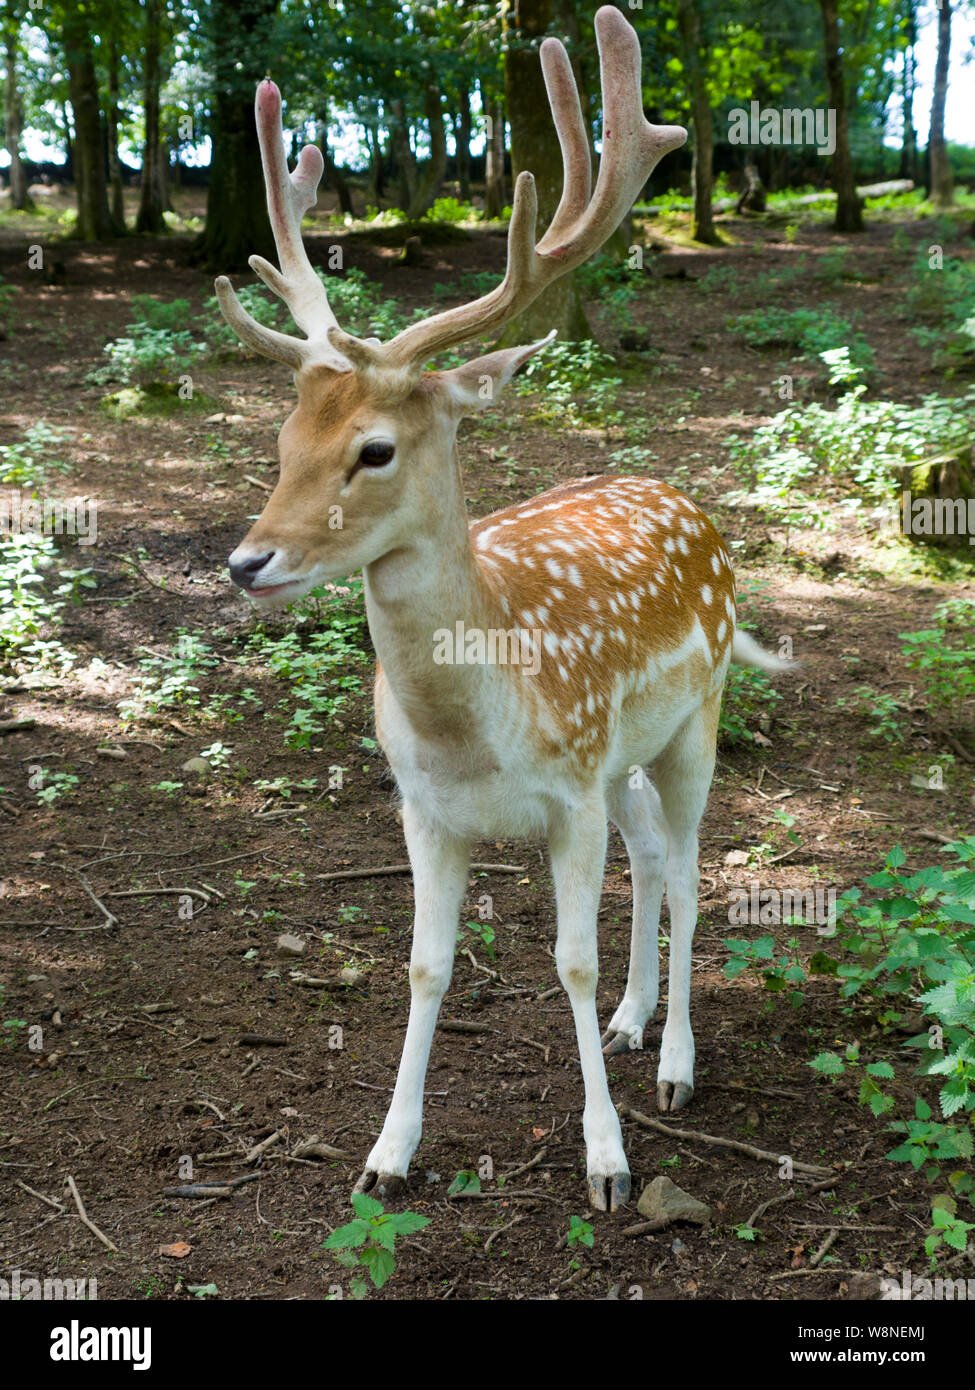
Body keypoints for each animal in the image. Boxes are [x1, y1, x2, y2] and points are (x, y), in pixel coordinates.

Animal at [212, 5, 790, 1212]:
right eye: (284, 439)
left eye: (374, 449)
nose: (247, 562)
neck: (471, 724)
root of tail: (685, 501)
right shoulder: (424, 807)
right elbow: (426, 963)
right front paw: (387, 1154)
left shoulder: (565, 793)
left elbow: (565, 957)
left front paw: (607, 1162)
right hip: (619, 760)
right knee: (651, 858)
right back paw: (631, 1020)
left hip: (695, 719)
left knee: (691, 870)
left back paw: (675, 1062)